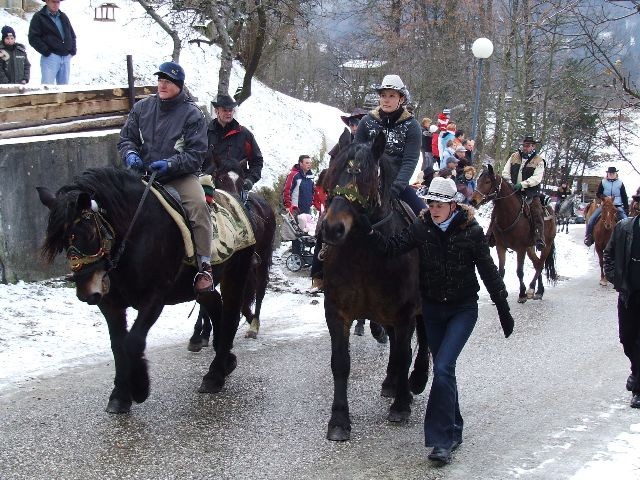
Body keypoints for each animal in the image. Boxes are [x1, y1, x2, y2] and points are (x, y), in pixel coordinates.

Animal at [37, 168, 255, 412]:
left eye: (91, 233)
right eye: (63, 241)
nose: (86, 293)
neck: (135, 235)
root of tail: (237, 200)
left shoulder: (154, 298)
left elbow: (133, 341)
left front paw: (139, 387)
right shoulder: (110, 304)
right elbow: (117, 345)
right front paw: (120, 395)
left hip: (235, 274)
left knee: (230, 316)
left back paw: (215, 376)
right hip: (200, 288)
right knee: (216, 307)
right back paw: (225, 362)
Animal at [186, 158, 274, 348]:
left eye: (241, 181)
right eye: (220, 179)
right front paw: (201, 334)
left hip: (262, 256)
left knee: (260, 287)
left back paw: (253, 325)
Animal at [320, 129, 430, 440]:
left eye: (366, 177)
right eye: (333, 172)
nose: (332, 228)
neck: (367, 252)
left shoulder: (405, 312)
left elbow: (404, 354)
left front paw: (401, 406)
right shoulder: (337, 313)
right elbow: (340, 363)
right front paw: (339, 419)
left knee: (422, 342)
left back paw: (415, 380)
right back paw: (391, 383)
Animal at [468, 165, 556, 304]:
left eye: (487, 182)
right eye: (478, 181)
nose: (472, 200)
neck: (509, 215)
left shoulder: (521, 249)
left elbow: (519, 272)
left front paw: (522, 294)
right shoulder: (501, 247)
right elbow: (501, 271)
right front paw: (501, 293)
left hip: (546, 244)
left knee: (540, 264)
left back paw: (531, 289)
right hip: (530, 248)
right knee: (537, 264)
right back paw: (539, 291)